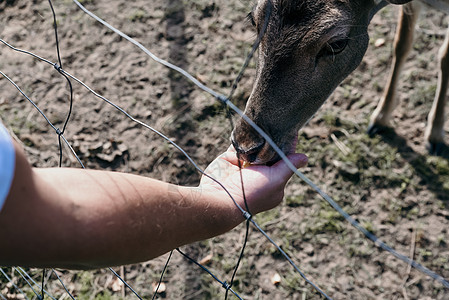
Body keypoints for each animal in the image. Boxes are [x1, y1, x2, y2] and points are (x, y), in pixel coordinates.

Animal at [231, 0, 448, 164]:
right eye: (253, 19)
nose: (245, 146)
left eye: (337, 44)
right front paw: (380, 117)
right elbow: (401, 43)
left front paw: (435, 135)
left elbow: (444, 57)